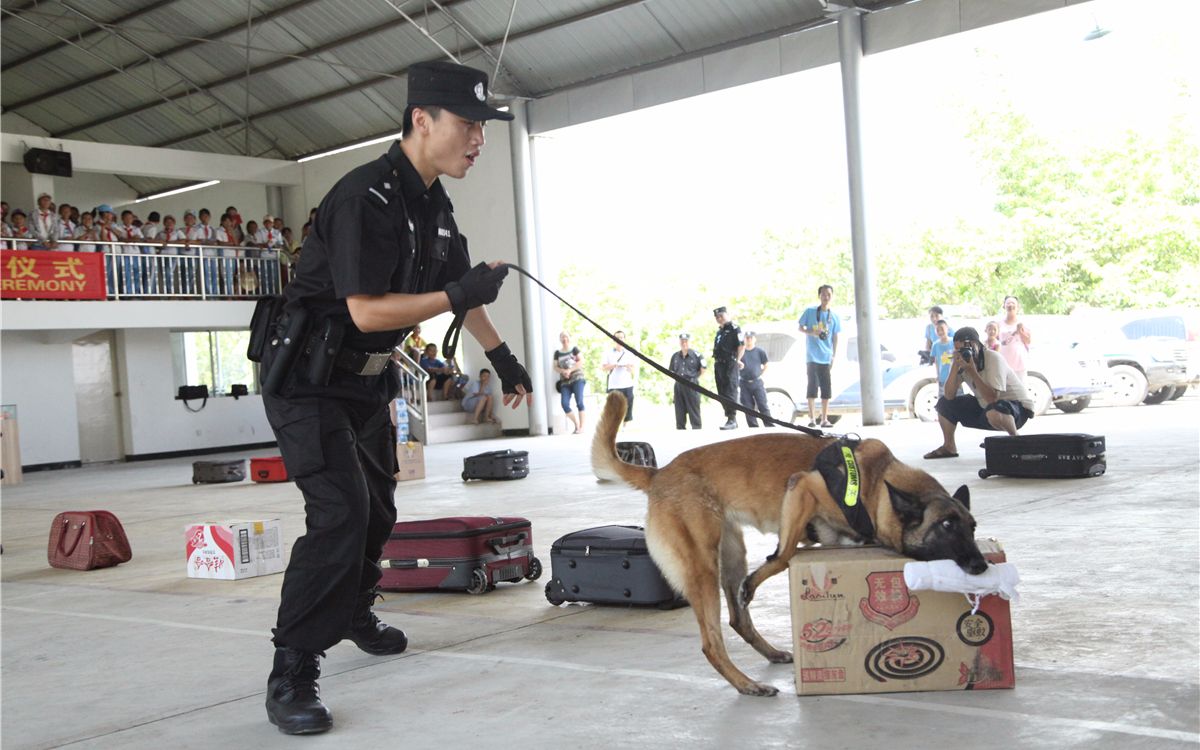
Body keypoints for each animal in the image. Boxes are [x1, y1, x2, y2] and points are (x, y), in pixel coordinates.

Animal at [592, 391, 993, 696]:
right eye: (946, 525)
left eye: (972, 527)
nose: (981, 566)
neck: (877, 484)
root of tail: (659, 474)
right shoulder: (802, 487)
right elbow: (784, 555)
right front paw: (760, 577)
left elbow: (793, 551)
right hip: (703, 565)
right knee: (712, 641)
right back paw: (747, 684)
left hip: (730, 554)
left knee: (738, 619)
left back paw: (769, 653)